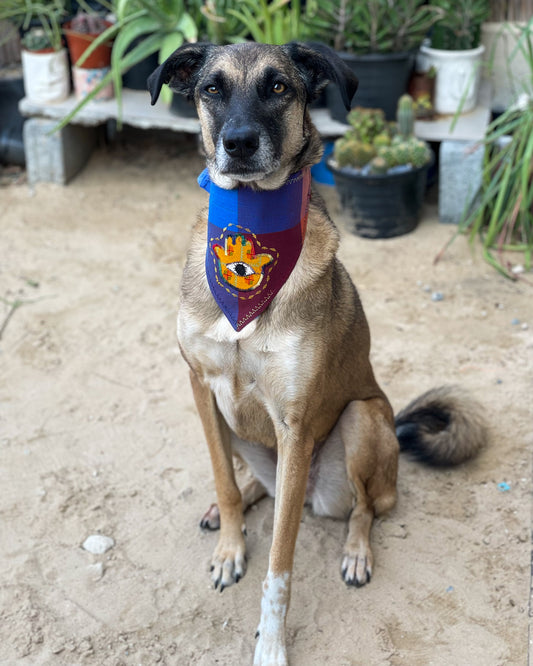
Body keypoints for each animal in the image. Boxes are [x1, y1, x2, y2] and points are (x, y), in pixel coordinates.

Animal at [147, 42, 486, 664]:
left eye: (279, 87)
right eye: (211, 88)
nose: (238, 143)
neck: (250, 231)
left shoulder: (296, 425)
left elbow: (281, 563)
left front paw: (272, 642)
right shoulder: (202, 388)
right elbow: (224, 481)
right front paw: (230, 545)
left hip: (362, 419)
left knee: (368, 507)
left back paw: (355, 552)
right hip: (238, 426)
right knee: (257, 481)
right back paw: (239, 502)